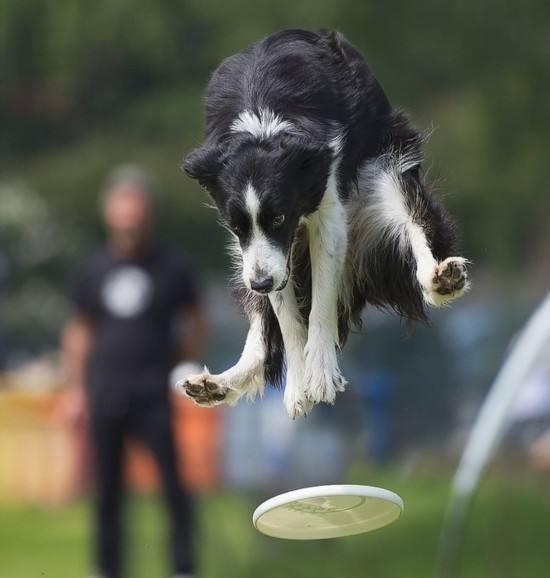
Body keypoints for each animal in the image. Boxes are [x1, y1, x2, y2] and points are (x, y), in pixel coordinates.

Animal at [180, 29, 470, 416]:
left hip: (385, 166)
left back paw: (441, 279)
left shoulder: (323, 201)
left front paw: (319, 376)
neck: (262, 125)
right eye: (236, 226)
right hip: (247, 262)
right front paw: (298, 386)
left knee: (412, 219)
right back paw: (218, 384)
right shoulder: (264, 250)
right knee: (261, 322)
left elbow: (320, 297)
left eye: (279, 216)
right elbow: (284, 314)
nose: (260, 283)